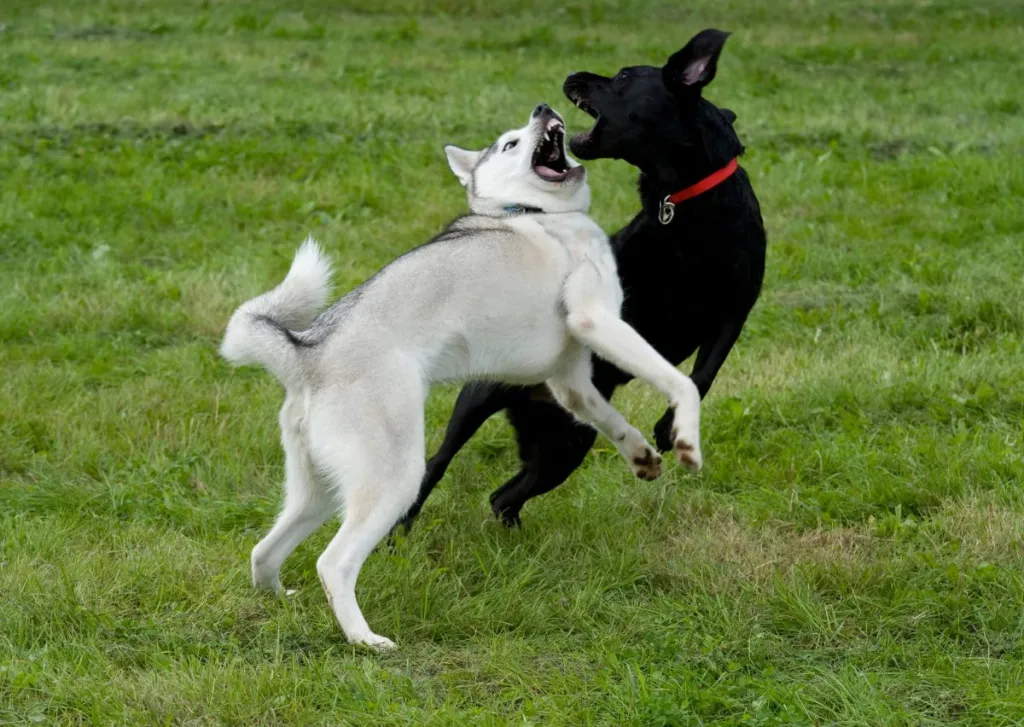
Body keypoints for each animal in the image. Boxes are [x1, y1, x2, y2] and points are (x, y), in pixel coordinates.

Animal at [222, 102, 704, 651]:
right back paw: (365, 640)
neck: (532, 213)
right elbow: (682, 383)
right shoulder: (596, 320)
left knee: (264, 551)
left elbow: (612, 422)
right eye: (510, 143)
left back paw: (278, 602)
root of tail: (308, 353)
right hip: (394, 479)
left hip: (318, 492)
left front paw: (642, 456)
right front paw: (687, 441)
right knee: (334, 563)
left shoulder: (571, 381)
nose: (543, 107)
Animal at [397, 28, 761, 528]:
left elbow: (706, 371)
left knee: (505, 496)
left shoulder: (734, 310)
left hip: (566, 443)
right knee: (436, 464)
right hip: (481, 399)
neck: (682, 204)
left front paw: (669, 429)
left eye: (623, 77)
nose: (571, 76)